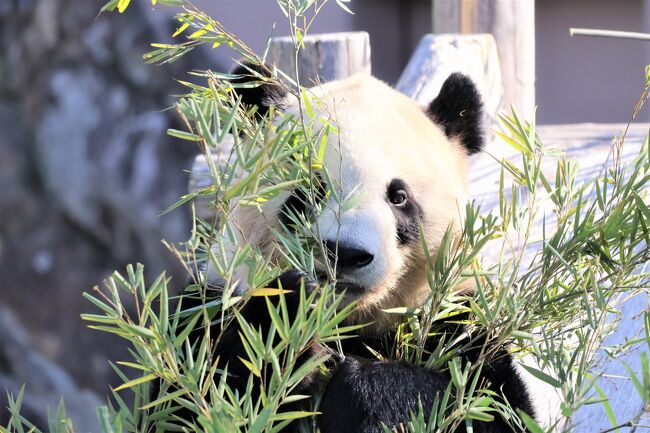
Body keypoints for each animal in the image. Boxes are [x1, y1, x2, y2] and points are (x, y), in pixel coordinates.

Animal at [176, 64, 540, 432]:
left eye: (399, 197)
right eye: (312, 189)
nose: (346, 252)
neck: (352, 320)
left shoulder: (459, 318)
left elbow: (488, 405)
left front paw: (363, 390)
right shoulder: (211, 299)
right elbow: (200, 394)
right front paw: (290, 309)